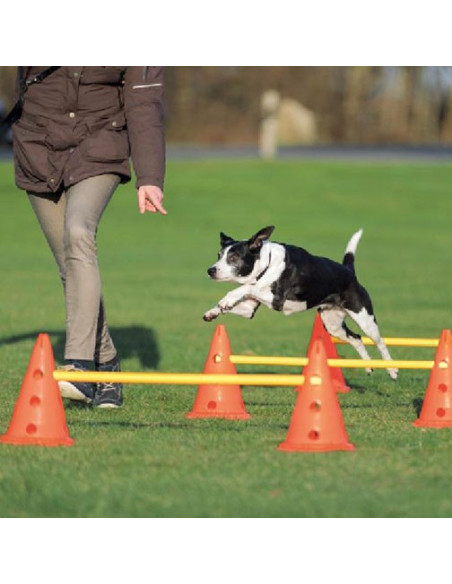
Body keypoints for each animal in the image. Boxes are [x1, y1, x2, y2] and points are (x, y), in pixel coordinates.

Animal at [203, 226, 398, 380]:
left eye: (234, 257)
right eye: (219, 255)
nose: (210, 270)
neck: (266, 263)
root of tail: (349, 271)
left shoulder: (276, 299)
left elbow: (246, 288)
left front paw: (227, 299)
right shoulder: (249, 308)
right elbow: (242, 295)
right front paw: (214, 311)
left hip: (365, 318)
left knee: (379, 342)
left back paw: (392, 370)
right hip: (332, 324)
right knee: (356, 338)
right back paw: (368, 366)